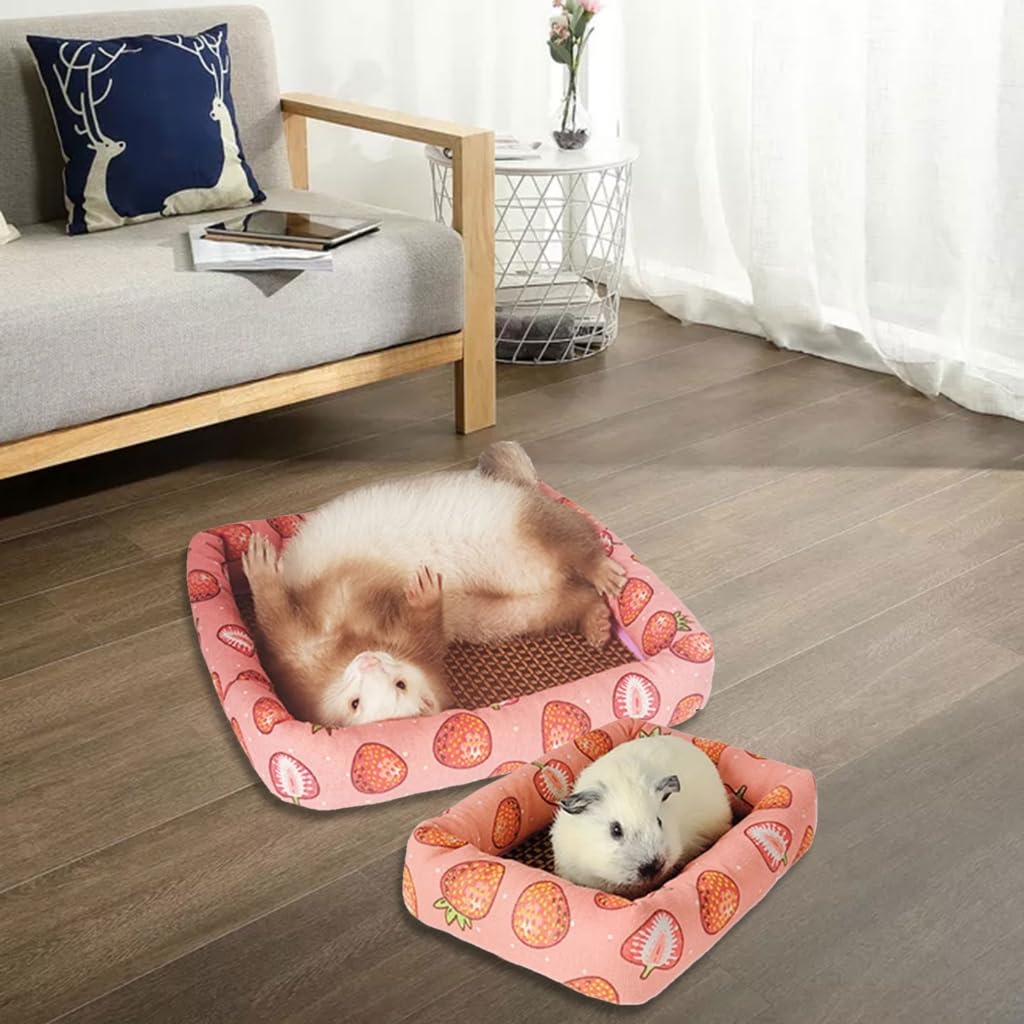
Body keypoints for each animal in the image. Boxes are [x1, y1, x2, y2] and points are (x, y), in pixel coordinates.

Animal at [241, 441, 626, 727]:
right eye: (356, 702)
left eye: (400, 685)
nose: (369, 663)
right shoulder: (298, 653)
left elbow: (275, 613)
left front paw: (259, 564)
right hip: (513, 614)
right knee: (570, 599)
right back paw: (596, 621)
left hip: (530, 524)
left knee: (577, 540)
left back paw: (605, 572)